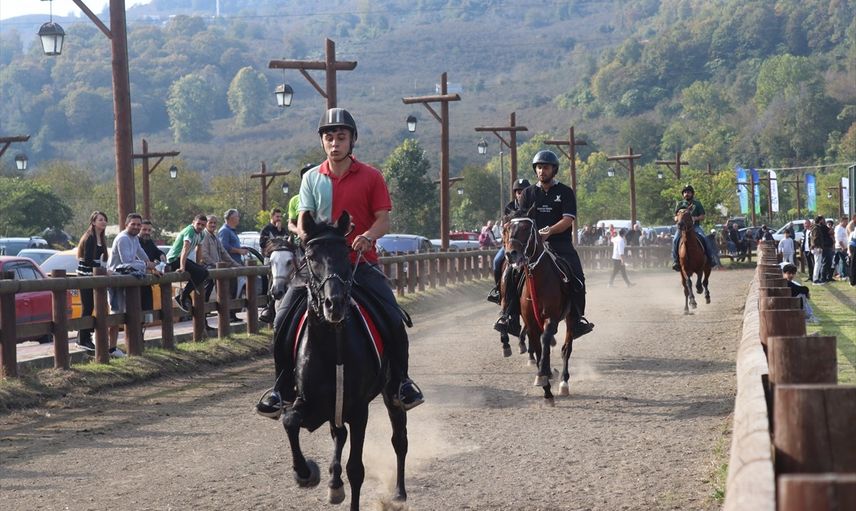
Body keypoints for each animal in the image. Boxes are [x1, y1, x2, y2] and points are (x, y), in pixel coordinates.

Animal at [283, 211, 409, 511]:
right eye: (311, 256)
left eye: (345, 252)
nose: (334, 303)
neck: (332, 346)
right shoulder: (309, 403)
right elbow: (290, 422)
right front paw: (305, 474)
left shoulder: (358, 409)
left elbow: (356, 469)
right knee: (338, 435)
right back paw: (333, 484)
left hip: (392, 394)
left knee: (399, 439)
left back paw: (399, 493)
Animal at [503, 213, 577, 402]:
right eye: (507, 228)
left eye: (526, 229)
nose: (511, 254)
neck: (539, 279)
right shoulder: (531, 322)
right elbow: (538, 348)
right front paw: (546, 387)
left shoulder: (551, 318)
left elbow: (544, 341)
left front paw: (543, 376)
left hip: (570, 317)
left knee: (566, 349)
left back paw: (564, 383)